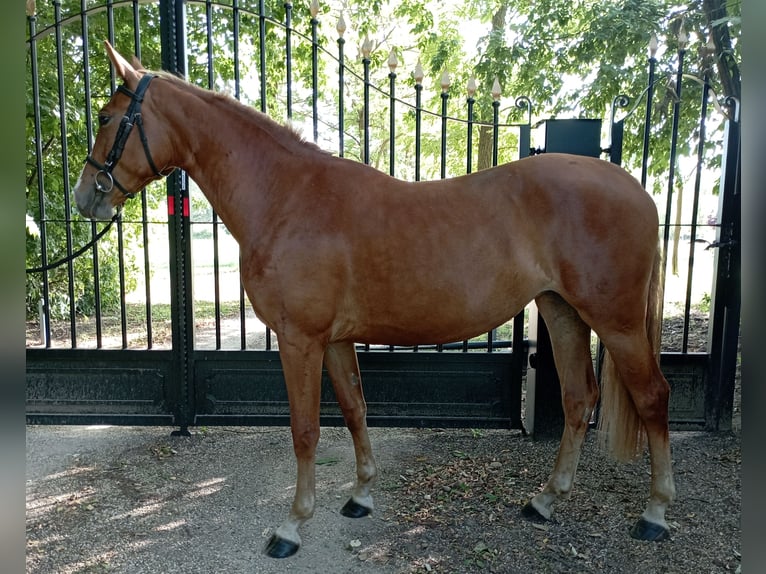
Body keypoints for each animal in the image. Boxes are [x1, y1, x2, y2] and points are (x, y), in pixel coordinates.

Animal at [76, 44, 680, 560]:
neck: (286, 196)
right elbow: (354, 409)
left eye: (106, 118)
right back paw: (545, 501)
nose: (85, 197)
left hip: (618, 323)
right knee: (579, 400)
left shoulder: (299, 340)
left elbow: (305, 430)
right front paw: (360, 496)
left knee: (653, 397)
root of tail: (638, 190)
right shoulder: (335, 340)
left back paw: (654, 515)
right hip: (562, 312)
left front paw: (291, 527)